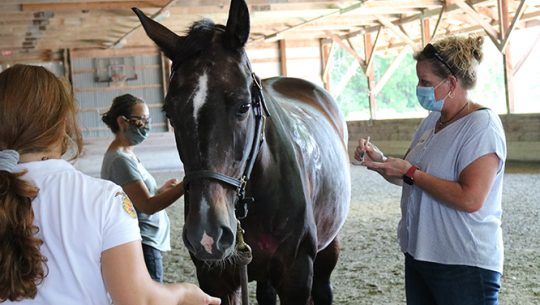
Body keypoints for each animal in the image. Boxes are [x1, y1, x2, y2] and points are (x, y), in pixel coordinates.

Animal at [134, 1, 350, 302]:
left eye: (244, 106)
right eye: (170, 113)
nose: (208, 234)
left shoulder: (296, 276)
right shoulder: (217, 280)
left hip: (328, 249)